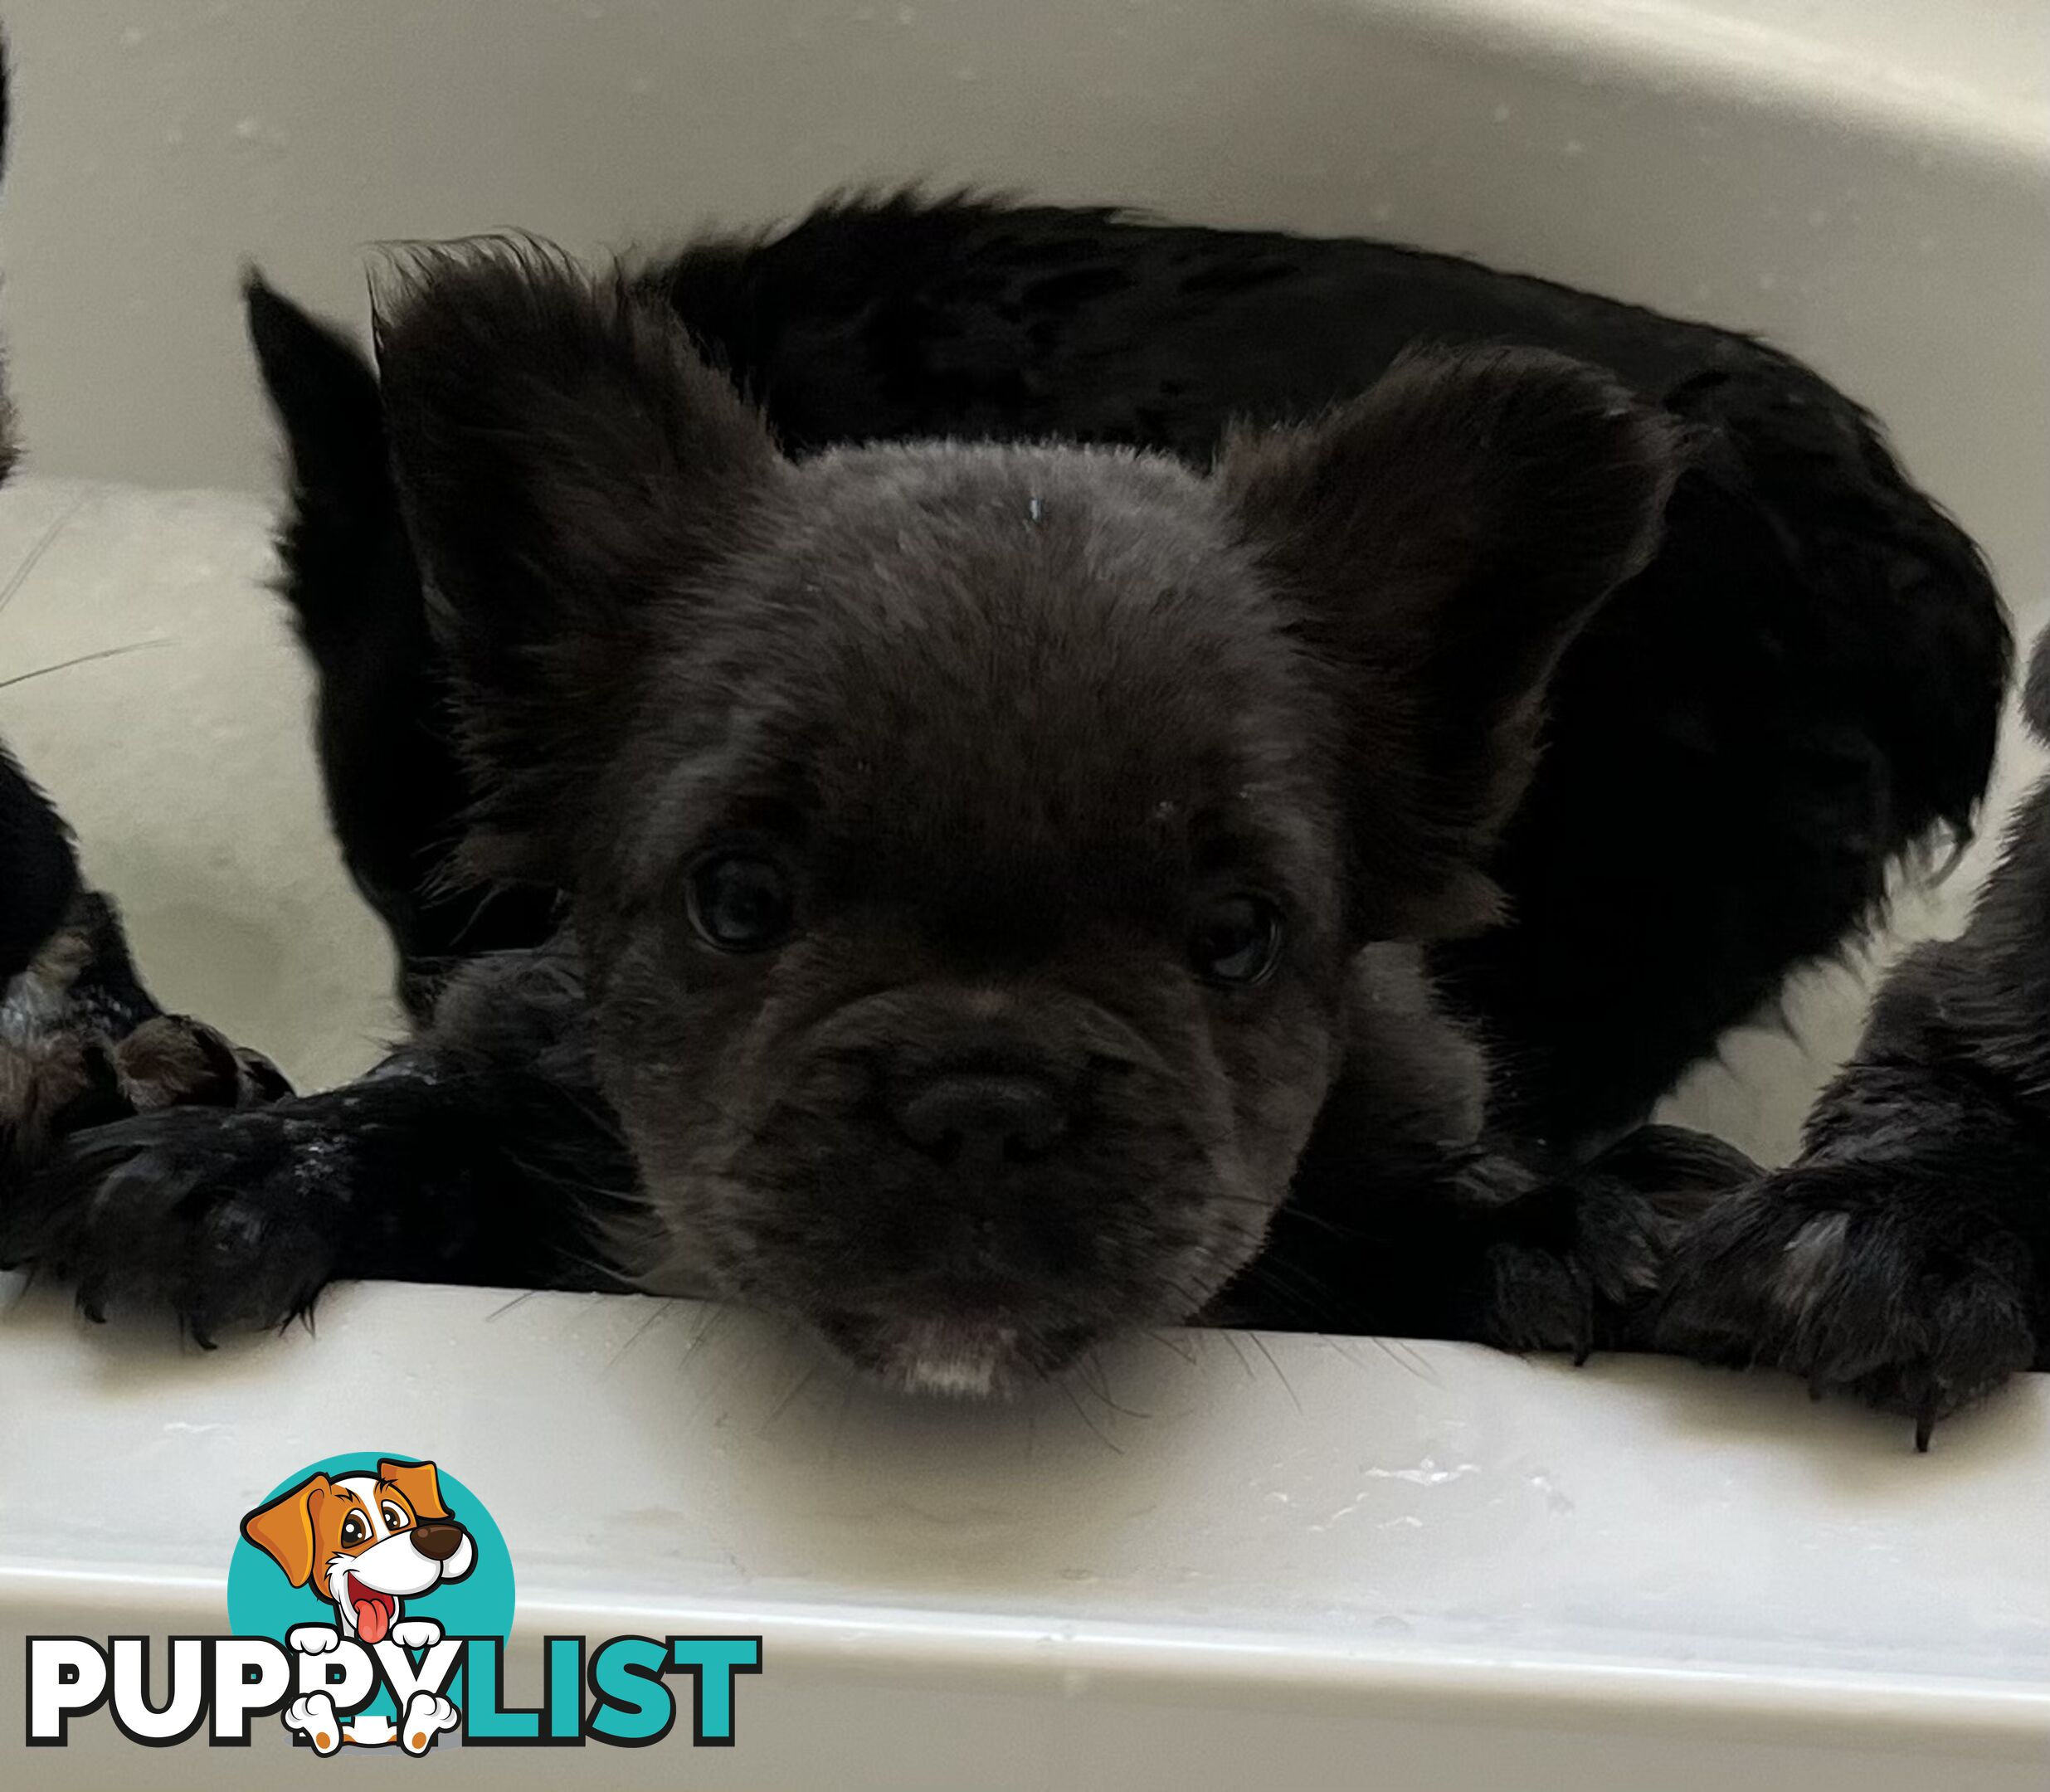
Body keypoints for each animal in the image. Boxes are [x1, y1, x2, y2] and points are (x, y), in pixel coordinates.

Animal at [7, 241, 1787, 1385]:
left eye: (1238, 938)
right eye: (736, 901)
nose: (981, 1095)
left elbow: (1426, 1195)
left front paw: (1557, 1211)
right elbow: (433, 1118)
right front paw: (239, 1160)